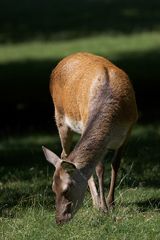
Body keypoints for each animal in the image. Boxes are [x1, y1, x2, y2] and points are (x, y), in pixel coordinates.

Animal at [42, 51, 138, 224]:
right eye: (53, 188)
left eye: (67, 188)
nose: (59, 219)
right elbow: (99, 168)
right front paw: (104, 207)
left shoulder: (129, 129)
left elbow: (115, 164)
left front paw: (111, 203)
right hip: (60, 118)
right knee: (64, 153)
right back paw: (96, 203)